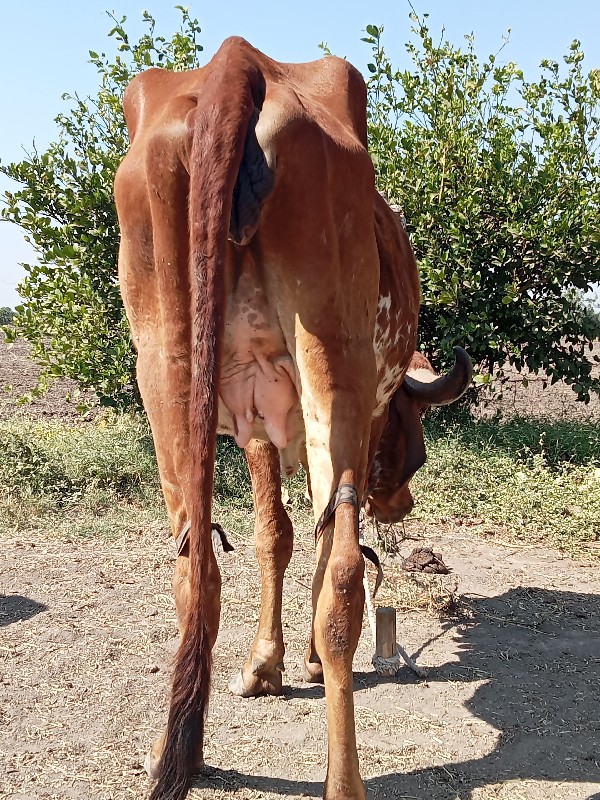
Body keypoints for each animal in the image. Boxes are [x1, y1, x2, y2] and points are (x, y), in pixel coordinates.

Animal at [115, 37, 464, 800]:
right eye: (414, 450)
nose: (402, 504)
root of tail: (236, 64)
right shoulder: (347, 420)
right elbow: (314, 539)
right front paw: (293, 659)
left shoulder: (255, 422)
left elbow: (273, 533)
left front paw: (264, 664)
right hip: (332, 356)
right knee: (344, 574)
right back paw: (345, 779)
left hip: (164, 367)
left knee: (193, 564)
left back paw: (176, 751)